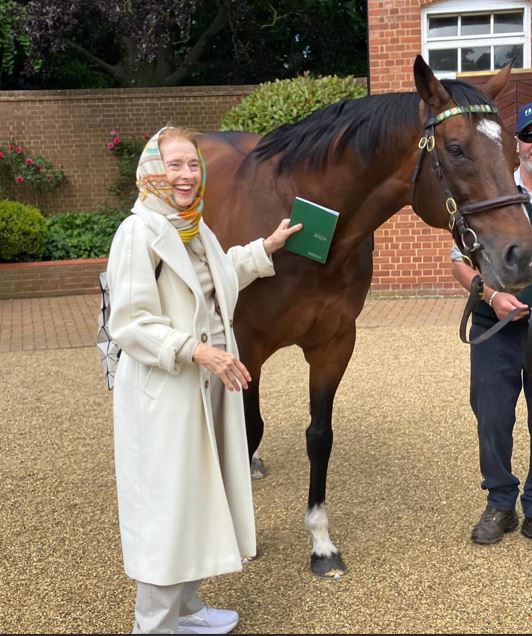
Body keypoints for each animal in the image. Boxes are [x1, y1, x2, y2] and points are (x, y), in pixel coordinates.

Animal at [197, 57, 532, 580]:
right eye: (457, 149)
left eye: (514, 151)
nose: (521, 256)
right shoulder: (247, 343)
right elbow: (249, 423)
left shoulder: (334, 343)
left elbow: (319, 437)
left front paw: (321, 544)